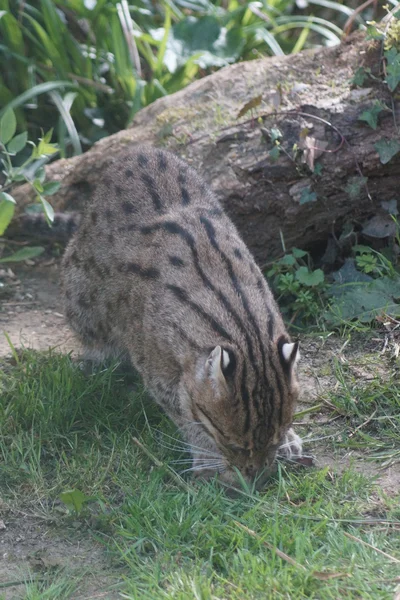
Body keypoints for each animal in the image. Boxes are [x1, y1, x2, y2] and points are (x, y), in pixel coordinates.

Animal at [61, 146, 302, 488]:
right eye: (232, 443)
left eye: (276, 436)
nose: (255, 475)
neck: (243, 328)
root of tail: (138, 149)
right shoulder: (155, 365)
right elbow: (182, 409)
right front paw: (208, 457)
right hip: (79, 291)